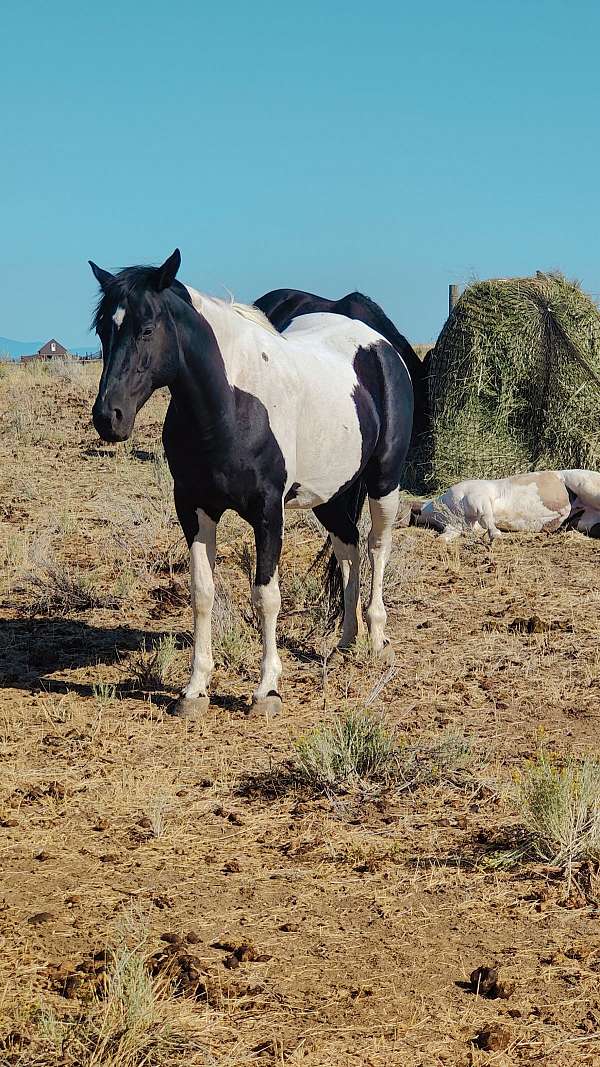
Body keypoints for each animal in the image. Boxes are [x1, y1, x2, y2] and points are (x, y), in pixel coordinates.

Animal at [88, 249, 414, 717]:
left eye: (147, 329)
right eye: (102, 330)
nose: (108, 417)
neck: (229, 406)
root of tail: (377, 343)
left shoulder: (267, 513)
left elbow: (266, 596)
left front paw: (267, 691)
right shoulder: (194, 509)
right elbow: (202, 593)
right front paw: (194, 691)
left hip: (384, 482)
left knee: (377, 547)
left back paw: (376, 639)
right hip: (330, 495)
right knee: (348, 549)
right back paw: (345, 643)